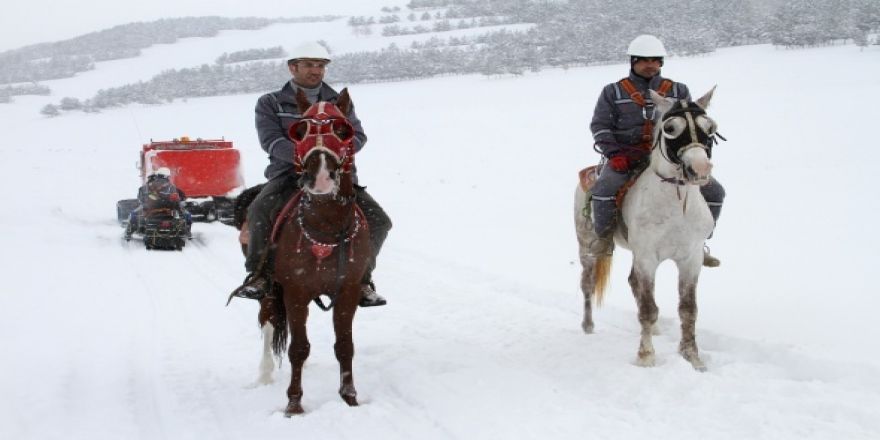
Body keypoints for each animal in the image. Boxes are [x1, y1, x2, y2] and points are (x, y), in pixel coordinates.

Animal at [235, 89, 370, 416]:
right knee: (268, 323)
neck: (325, 224)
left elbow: (344, 346)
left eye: (343, 129)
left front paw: (349, 397)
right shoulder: (295, 291)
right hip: (270, 287)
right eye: (300, 130)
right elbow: (298, 348)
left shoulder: (347, 291)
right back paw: (264, 374)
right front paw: (294, 404)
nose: (320, 176)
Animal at [576, 85, 720, 368]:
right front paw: (646, 357)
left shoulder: (691, 259)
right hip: (586, 245)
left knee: (633, 283)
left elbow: (688, 310)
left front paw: (692, 357)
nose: (700, 169)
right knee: (587, 284)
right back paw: (588, 326)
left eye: (709, 127)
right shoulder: (647, 257)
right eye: (671, 128)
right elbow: (647, 308)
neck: (675, 204)